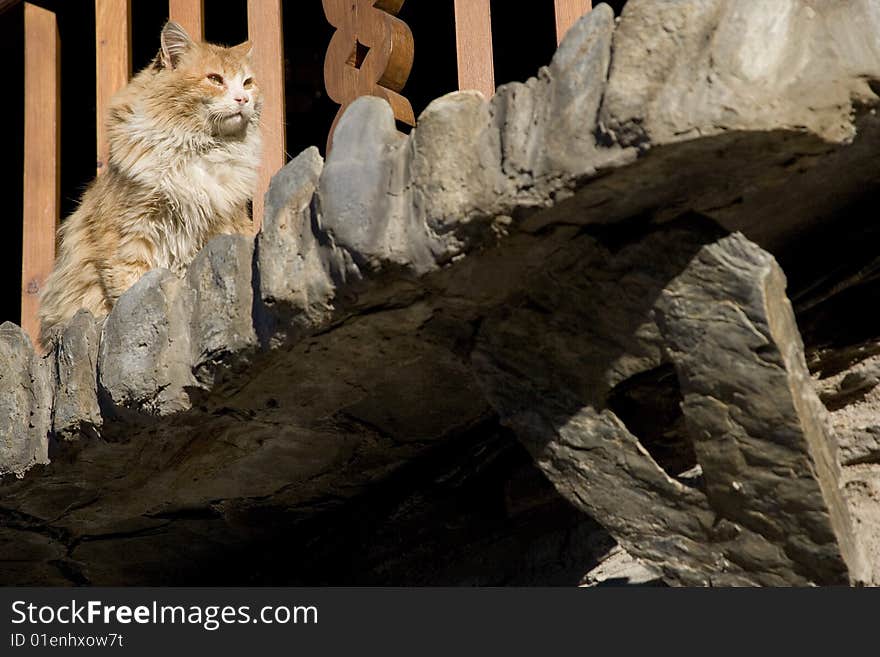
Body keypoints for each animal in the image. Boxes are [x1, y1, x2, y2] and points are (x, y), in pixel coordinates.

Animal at [40, 21, 262, 348]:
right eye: (215, 79)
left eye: (247, 83)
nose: (243, 100)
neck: (200, 149)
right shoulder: (130, 235)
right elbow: (128, 293)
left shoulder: (217, 227)